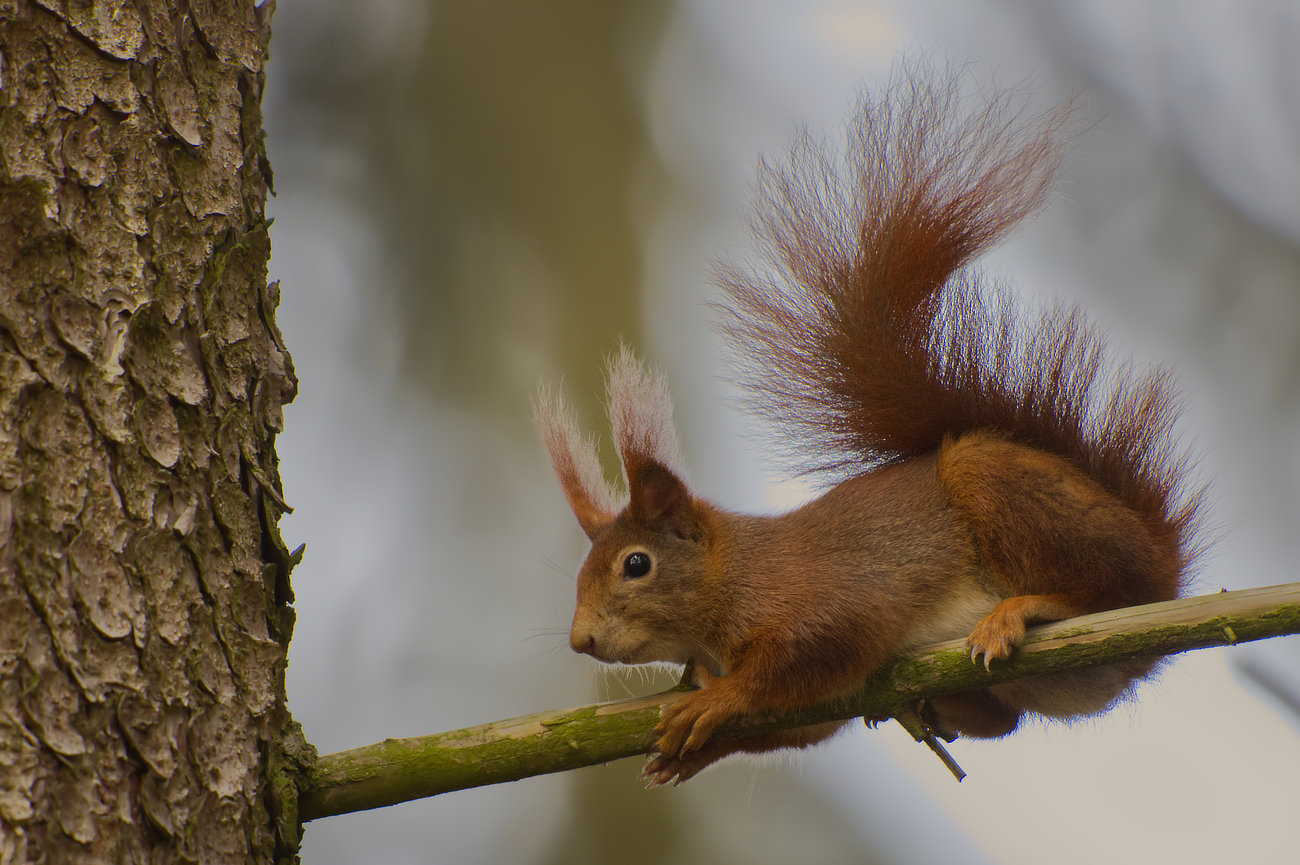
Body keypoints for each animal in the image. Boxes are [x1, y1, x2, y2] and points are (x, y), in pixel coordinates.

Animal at [535, 69, 1196, 780]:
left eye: (636, 564)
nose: (581, 640)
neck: (730, 577)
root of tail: (1164, 565)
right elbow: (807, 722)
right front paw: (690, 750)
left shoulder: (824, 597)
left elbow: (815, 652)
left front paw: (714, 701)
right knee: (1006, 720)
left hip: (1022, 502)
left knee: (1110, 595)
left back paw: (1021, 612)